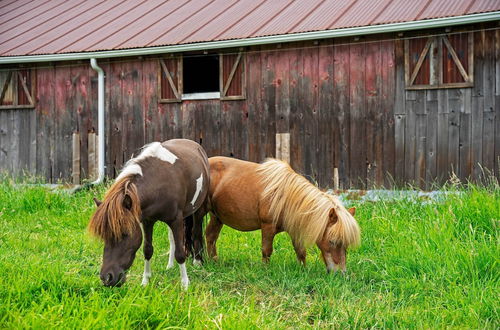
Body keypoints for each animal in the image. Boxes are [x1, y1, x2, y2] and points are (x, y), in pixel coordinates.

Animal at [88, 139, 209, 288]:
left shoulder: (176, 220)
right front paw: (145, 281)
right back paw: (170, 265)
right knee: (172, 239)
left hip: (197, 210)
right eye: (104, 236)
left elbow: (180, 253)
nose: (107, 278)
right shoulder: (147, 221)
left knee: (195, 232)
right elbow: (147, 249)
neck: (159, 184)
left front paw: (185, 284)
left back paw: (197, 262)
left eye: (124, 233)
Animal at [206, 157, 360, 274]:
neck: (286, 197)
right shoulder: (268, 227)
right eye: (332, 241)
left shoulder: (295, 230)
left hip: (217, 217)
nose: (341, 273)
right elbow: (266, 251)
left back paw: (214, 262)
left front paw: (303, 271)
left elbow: (301, 252)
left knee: (211, 236)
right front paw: (265, 271)